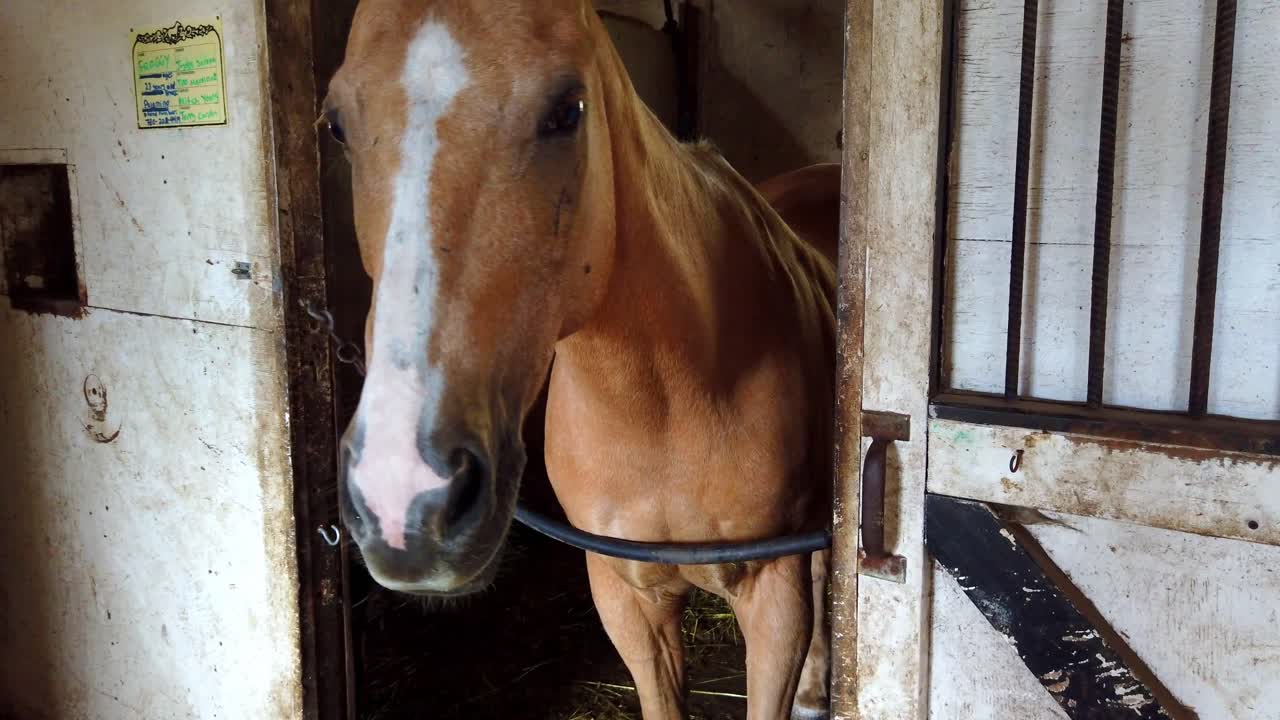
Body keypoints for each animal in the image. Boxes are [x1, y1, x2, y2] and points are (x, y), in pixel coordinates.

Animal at [325, 2, 839, 718]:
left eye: (567, 111)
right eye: (337, 124)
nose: (403, 499)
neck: (663, 403)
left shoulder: (773, 597)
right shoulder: (626, 598)